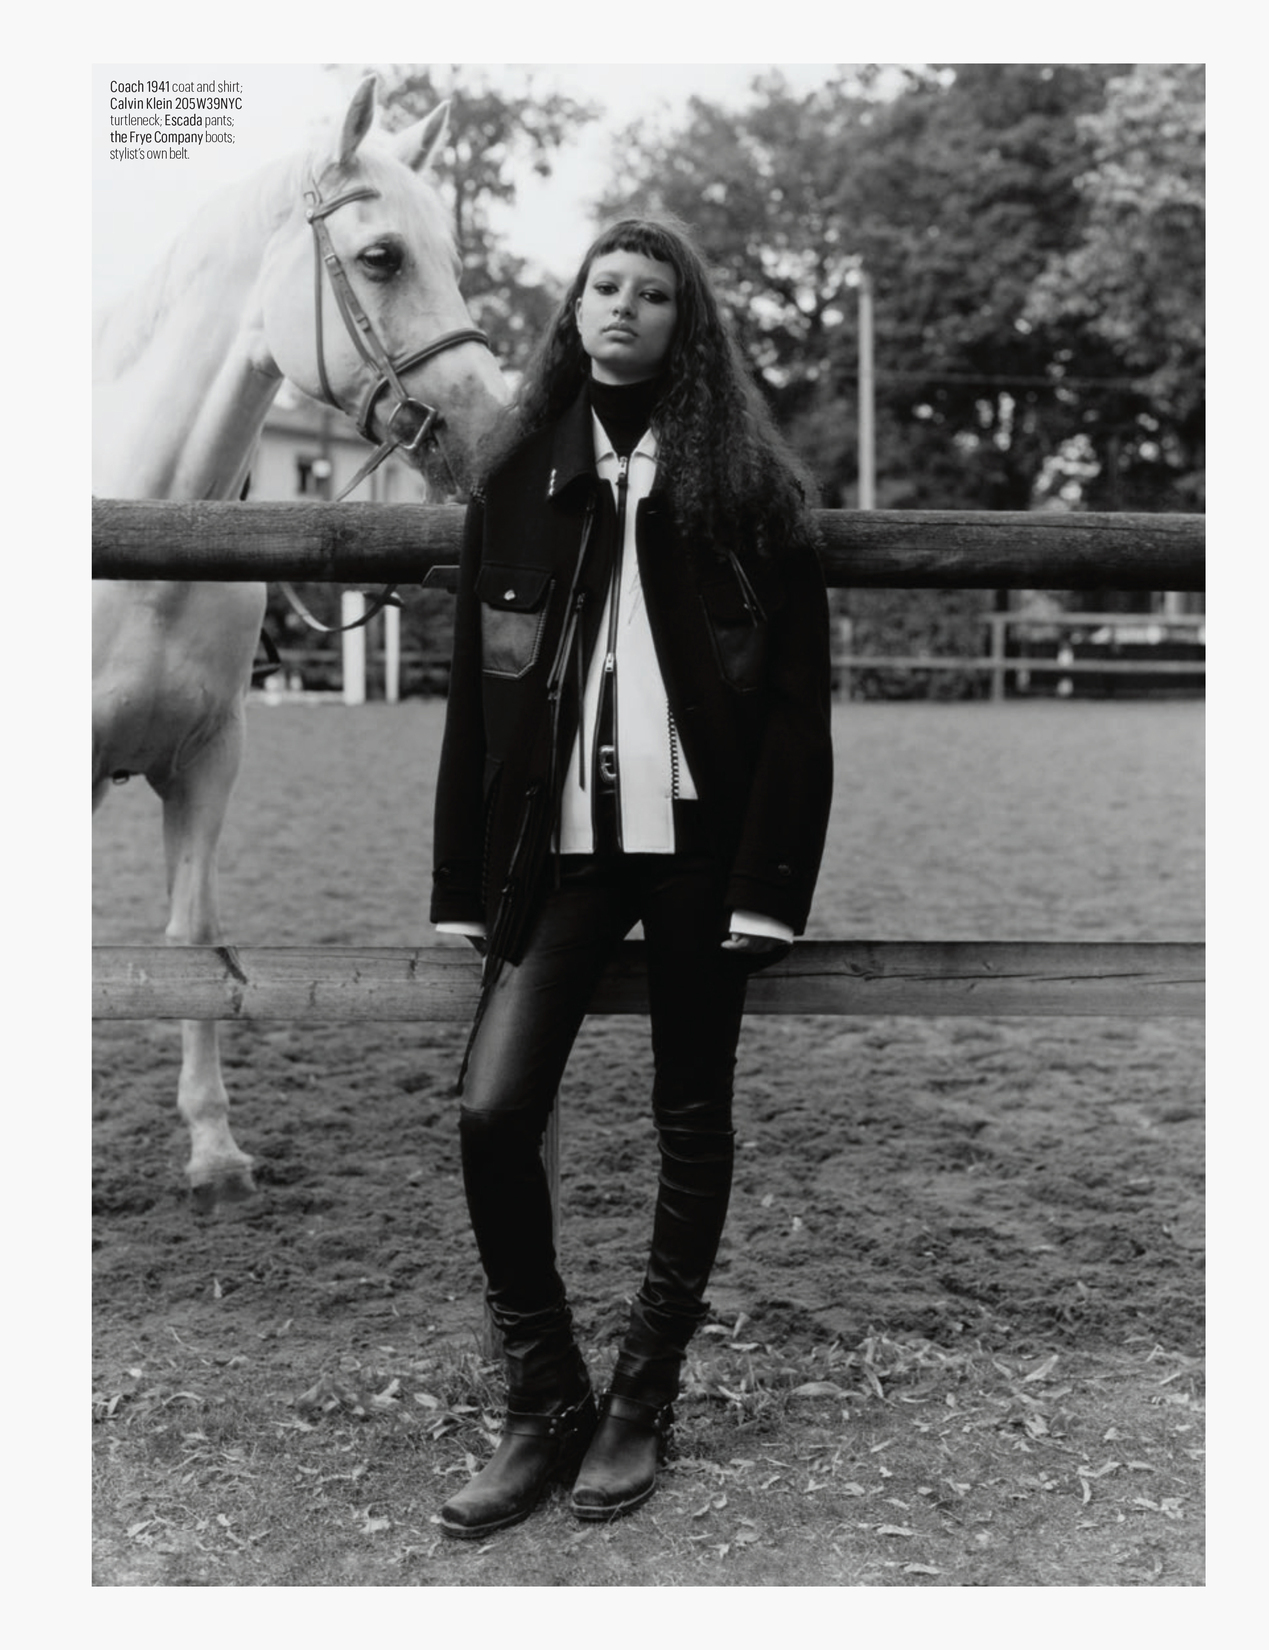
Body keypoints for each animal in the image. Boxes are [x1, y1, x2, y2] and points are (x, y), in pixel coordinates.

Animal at [93, 76, 509, 1212]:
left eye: (452, 257)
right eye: (382, 257)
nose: (497, 434)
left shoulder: (205, 761)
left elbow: (194, 945)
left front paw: (213, 1148)